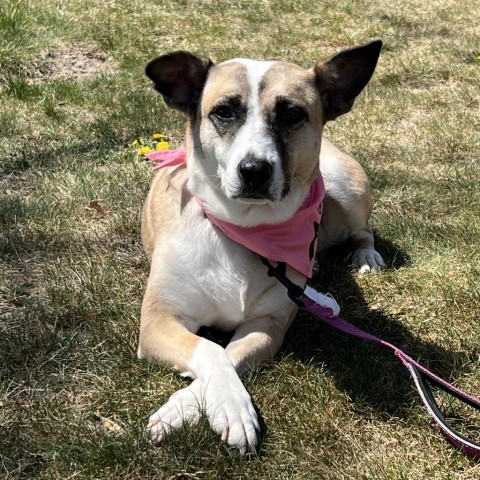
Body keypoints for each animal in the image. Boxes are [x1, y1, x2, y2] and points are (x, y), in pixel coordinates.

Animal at [139, 40, 386, 454]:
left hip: (344, 184)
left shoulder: (268, 326)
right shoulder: (158, 320)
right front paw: (224, 408)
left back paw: (365, 255)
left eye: (292, 114)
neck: (243, 229)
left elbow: (227, 354)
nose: (254, 170)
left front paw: (194, 407)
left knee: (363, 230)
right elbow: (211, 351)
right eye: (223, 112)